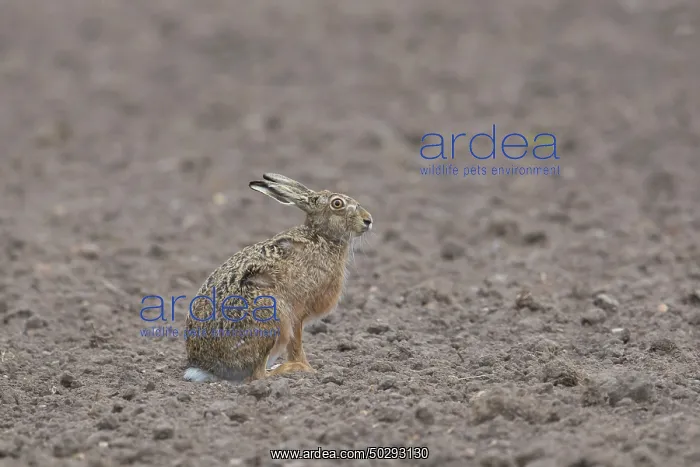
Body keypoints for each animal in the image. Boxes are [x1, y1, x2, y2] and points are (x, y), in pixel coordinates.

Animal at [183, 173, 373, 383]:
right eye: (337, 203)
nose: (368, 220)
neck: (322, 237)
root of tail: (207, 367)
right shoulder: (297, 313)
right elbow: (296, 343)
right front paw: (309, 369)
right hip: (273, 316)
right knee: (257, 375)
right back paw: (289, 369)